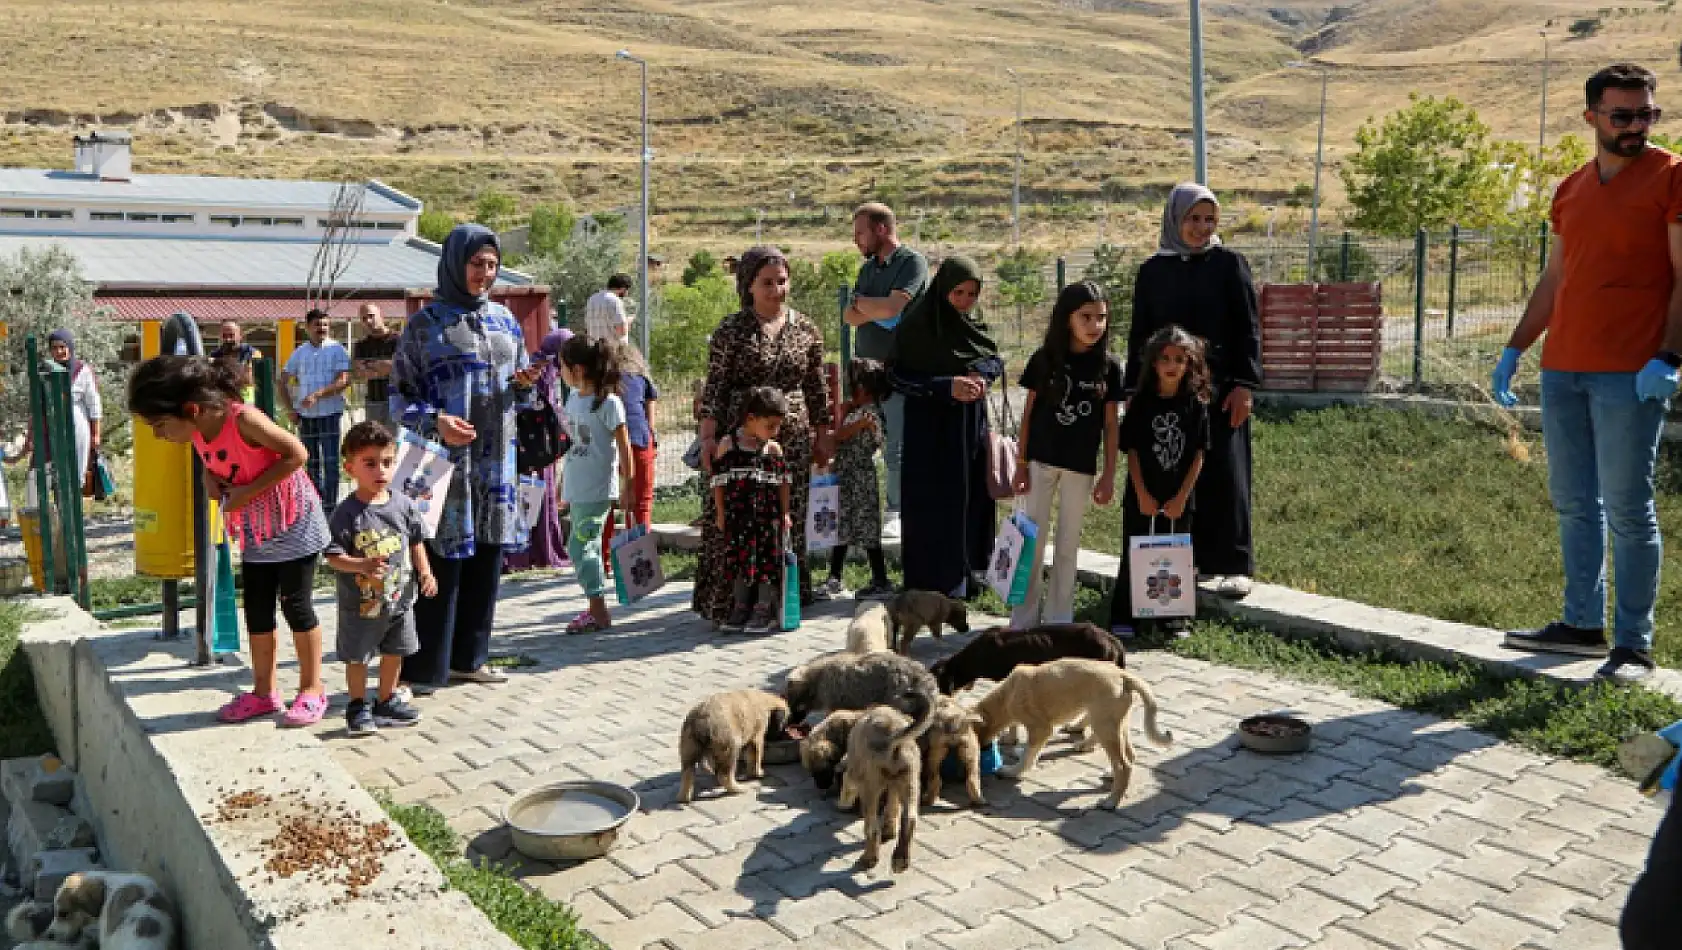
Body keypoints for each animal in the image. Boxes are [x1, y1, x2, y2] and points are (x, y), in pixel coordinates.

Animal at [837, 699, 921, 867]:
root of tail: (894, 736)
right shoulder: (896, 784)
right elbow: (893, 805)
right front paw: (889, 830)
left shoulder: (854, 772)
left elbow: (847, 783)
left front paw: (843, 803)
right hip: (911, 780)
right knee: (909, 819)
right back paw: (900, 860)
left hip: (870, 788)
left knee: (872, 827)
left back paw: (868, 858)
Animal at [975, 659, 1170, 807]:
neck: (1006, 695)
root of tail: (1123, 676)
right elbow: (1028, 749)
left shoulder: (1041, 728)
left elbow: (1028, 756)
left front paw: (1013, 771)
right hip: (1118, 724)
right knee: (1130, 755)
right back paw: (1111, 775)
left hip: (1104, 725)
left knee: (1124, 765)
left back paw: (1111, 802)